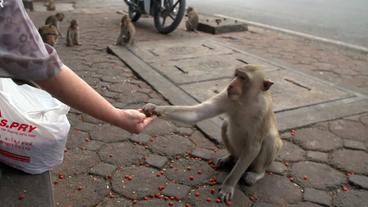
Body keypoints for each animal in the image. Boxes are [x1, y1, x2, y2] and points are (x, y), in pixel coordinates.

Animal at [144, 64, 282, 202]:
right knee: (225, 125)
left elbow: (253, 147)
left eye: (243, 78)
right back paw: (230, 157)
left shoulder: (262, 111)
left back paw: (257, 173)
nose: (231, 85)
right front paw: (154, 108)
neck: (245, 101)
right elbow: (198, 112)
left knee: (269, 139)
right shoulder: (226, 96)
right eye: (236, 75)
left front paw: (228, 185)